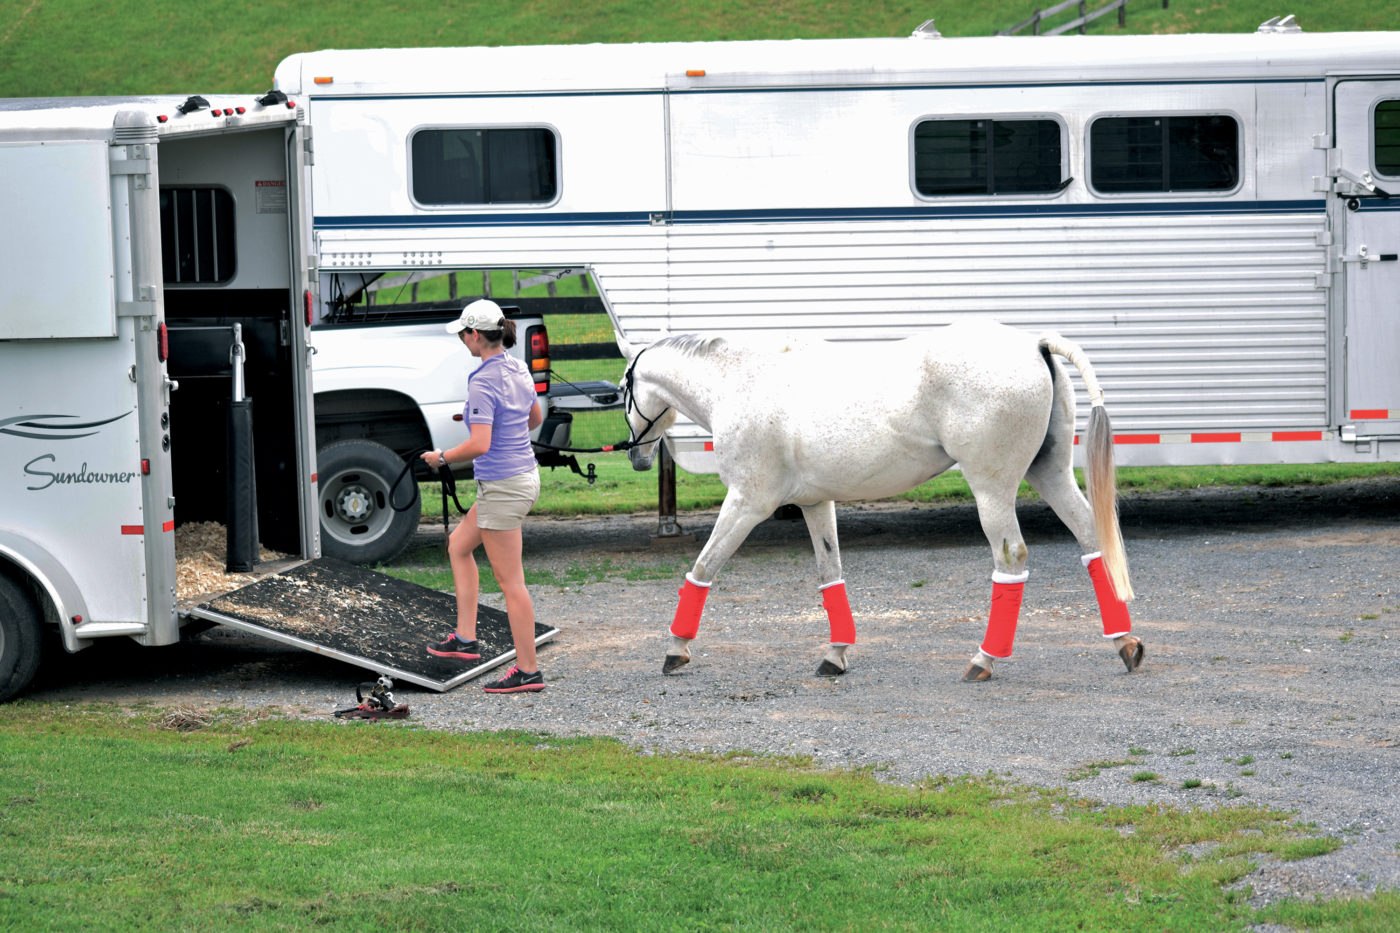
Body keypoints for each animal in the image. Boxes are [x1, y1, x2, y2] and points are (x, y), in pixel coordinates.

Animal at [618, 319, 1142, 683]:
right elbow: (830, 575)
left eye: (623, 387)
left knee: (1011, 559)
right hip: (1049, 474)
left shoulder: (747, 503)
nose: (636, 456)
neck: (740, 382)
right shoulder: (815, 504)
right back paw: (1126, 643)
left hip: (992, 489)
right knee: (1091, 538)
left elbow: (703, 568)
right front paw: (835, 655)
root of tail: (1034, 343)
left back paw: (984, 659)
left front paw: (675, 648)